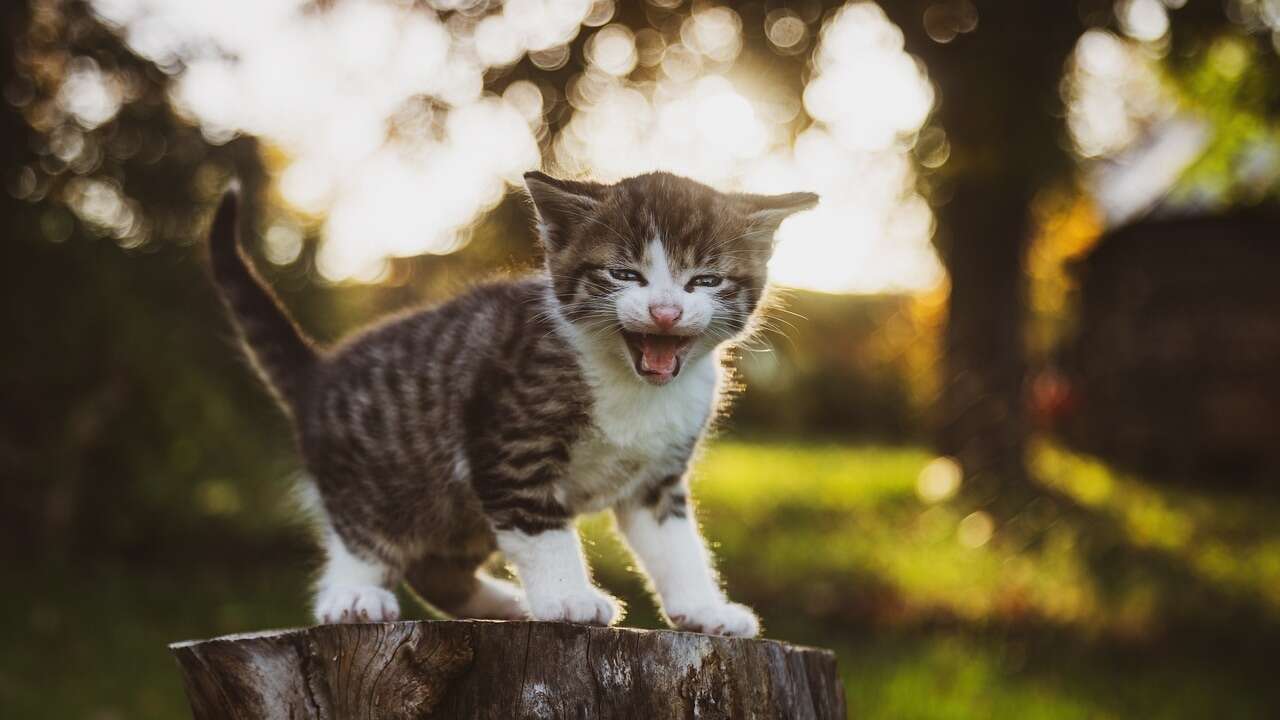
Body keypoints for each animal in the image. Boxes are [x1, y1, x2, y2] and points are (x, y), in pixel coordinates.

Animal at [206, 169, 814, 632]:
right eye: (624, 274)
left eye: (705, 281)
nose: (665, 312)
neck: (633, 386)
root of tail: (318, 373)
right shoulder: (507, 438)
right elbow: (541, 528)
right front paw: (568, 597)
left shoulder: (657, 479)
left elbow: (677, 545)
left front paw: (704, 609)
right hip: (384, 474)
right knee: (363, 533)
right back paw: (351, 596)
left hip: (457, 511)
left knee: (437, 570)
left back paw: (506, 604)